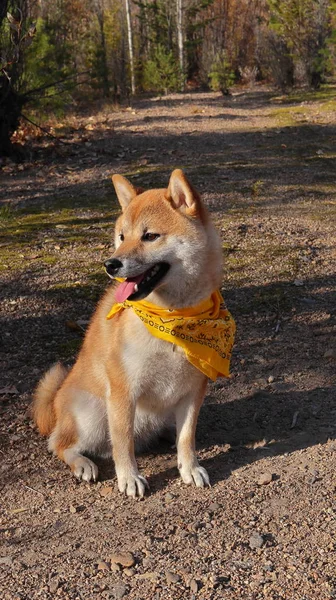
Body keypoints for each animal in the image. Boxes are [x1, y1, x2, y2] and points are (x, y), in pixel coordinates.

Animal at [32, 168, 235, 496]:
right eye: (121, 236)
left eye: (150, 236)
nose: (110, 264)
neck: (172, 318)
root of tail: (55, 402)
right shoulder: (123, 390)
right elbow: (123, 442)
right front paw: (129, 477)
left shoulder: (193, 389)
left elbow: (187, 436)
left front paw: (189, 467)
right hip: (92, 415)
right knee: (61, 444)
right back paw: (83, 463)